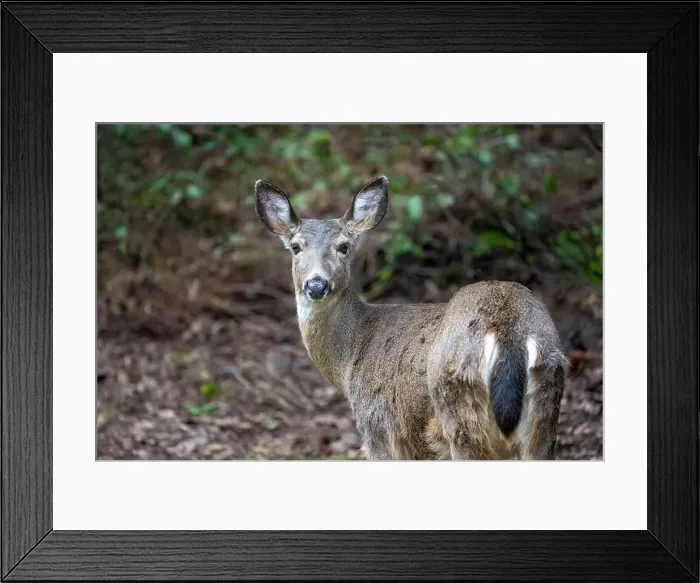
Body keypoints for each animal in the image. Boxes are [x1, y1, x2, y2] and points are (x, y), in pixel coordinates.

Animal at [255, 176, 567, 460]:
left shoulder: (379, 426)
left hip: (458, 406)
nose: (317, 285)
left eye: (344, 246)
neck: (350, 355)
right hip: (546, 406)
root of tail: (506, 328)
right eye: (296, 246)